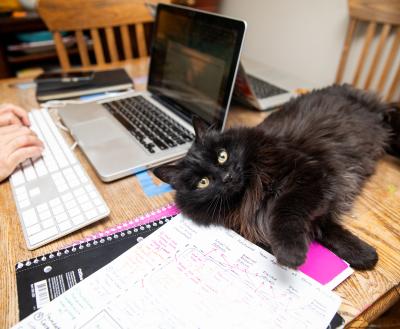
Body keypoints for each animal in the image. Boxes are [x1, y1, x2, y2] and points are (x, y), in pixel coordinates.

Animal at [154, 84, 400, 270]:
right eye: (203, 182)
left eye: (222, 156)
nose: (227, 177)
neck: (250, 192)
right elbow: (327, 230)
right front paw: (363, 254)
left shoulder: (308, 174)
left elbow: (285, 212)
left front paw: (290, 253)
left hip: (383, 119)